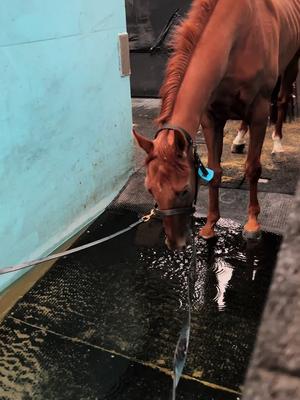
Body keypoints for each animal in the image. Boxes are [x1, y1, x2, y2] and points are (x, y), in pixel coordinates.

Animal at [134, 0, 300, 250]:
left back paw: (278, 145)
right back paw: (239, 140)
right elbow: (214, 171)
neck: (237, 34)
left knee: (281, 100)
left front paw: (252, 224)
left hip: (291, 63)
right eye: (150, 189)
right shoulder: (211, 118)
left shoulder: (260, 112)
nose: (176, 243)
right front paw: (210, 225)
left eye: (184, 190)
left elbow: (253, 169)